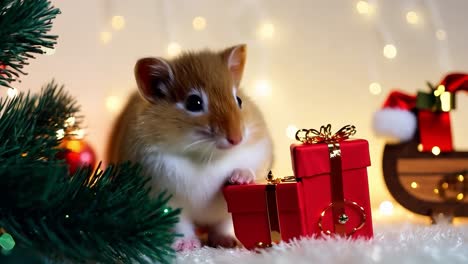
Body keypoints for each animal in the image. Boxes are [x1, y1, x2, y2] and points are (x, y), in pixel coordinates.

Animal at [106, 44, 274, 251]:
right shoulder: (167, 201)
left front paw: (239, 178)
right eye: (194, 103)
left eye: (239, 100)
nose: (237, 138)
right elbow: (180, 225)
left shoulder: (258, 157)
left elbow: (245, 176)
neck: (205, 156)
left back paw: (228, 242)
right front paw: (186, 246)